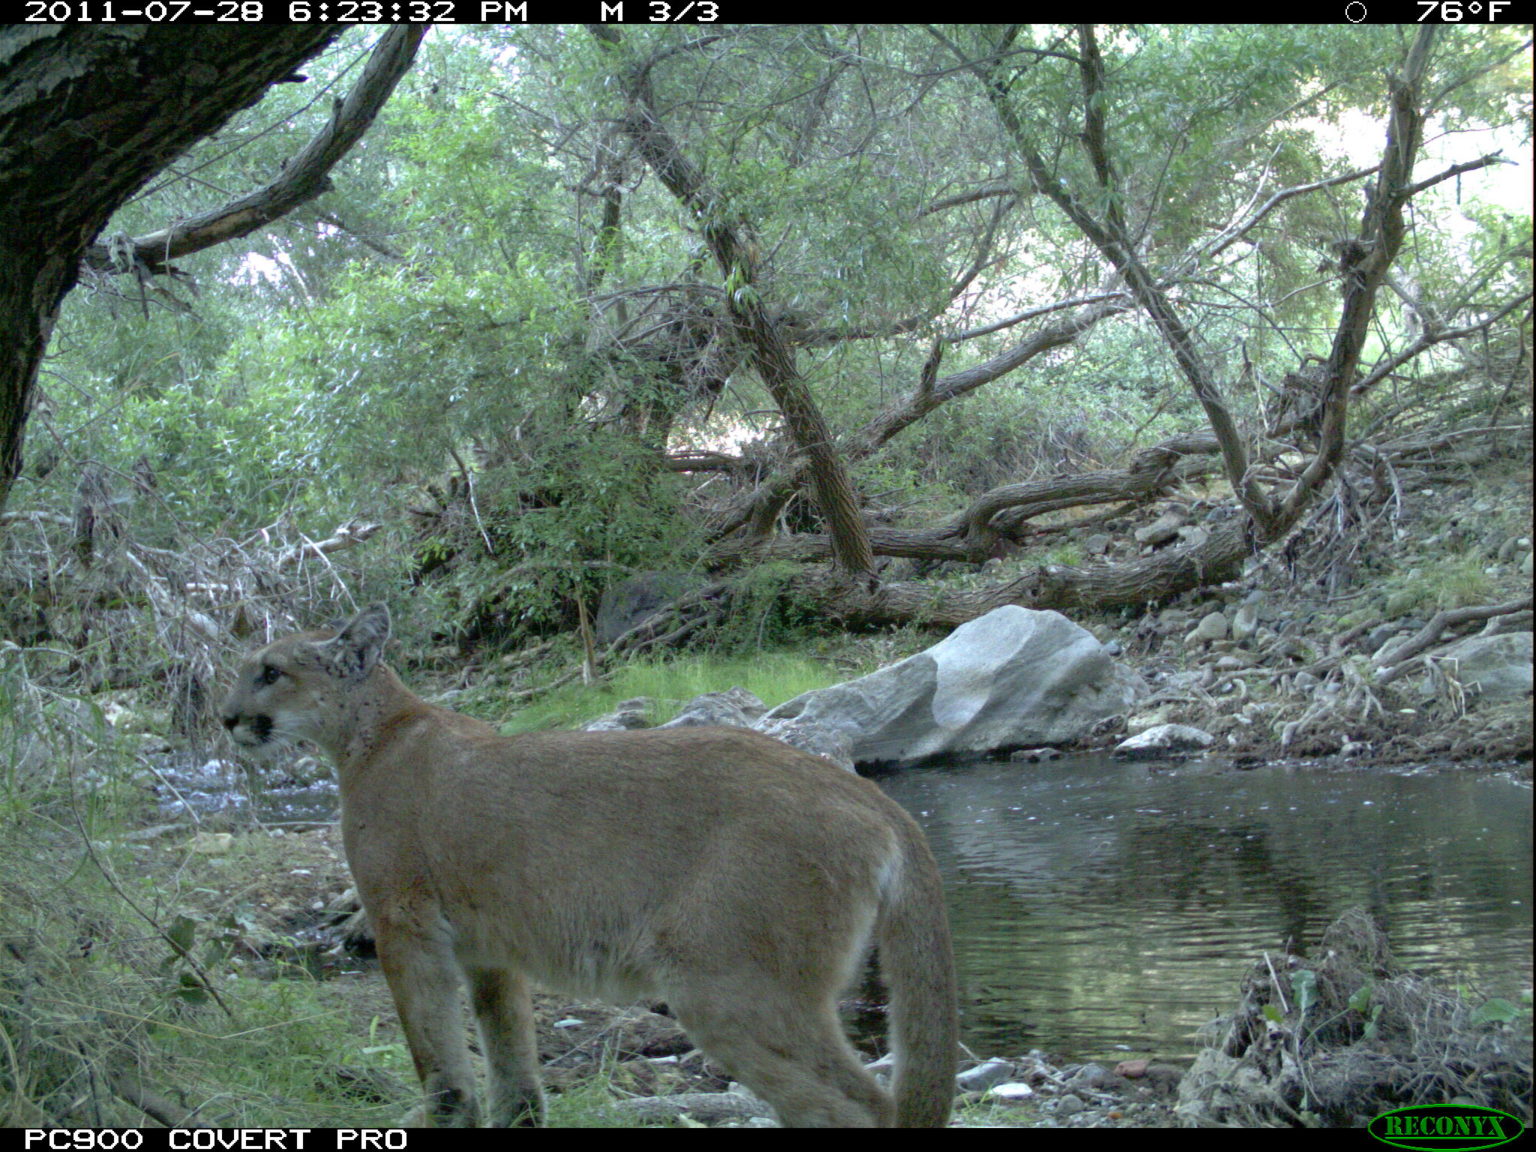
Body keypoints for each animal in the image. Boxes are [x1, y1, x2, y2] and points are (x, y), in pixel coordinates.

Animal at [222, 608, 952, 1130]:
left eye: (270, 672)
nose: (224, 716)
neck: (369, 735)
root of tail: (874, 797)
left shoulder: (402, 922)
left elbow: (442, 1067)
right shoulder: (489, 950)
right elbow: (513, 1068)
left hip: (727, 985)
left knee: (861, 1107)